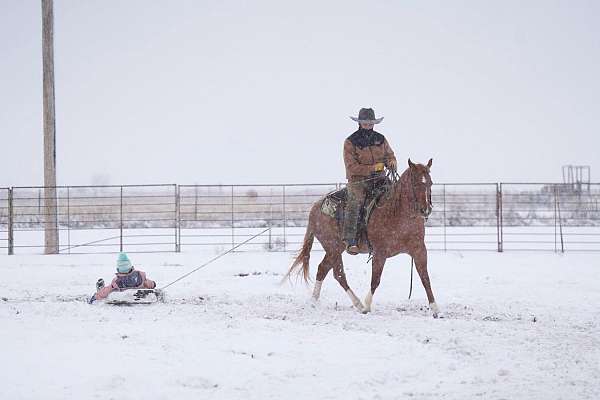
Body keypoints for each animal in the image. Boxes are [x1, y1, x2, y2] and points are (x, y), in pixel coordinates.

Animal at [284, 158, 438, 318]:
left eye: (430, 183)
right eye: (415, 183)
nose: (426, 210)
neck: (396, 212)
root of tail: (315, 207)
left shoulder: (419, 249)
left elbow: (425, 278)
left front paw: (435, 309)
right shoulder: (380, 253)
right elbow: (375, 280)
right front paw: (367, 306)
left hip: (335, 249)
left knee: (323, 269)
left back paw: (314, 301)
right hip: (332, 247)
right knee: (338, 274)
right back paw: (358, 304)